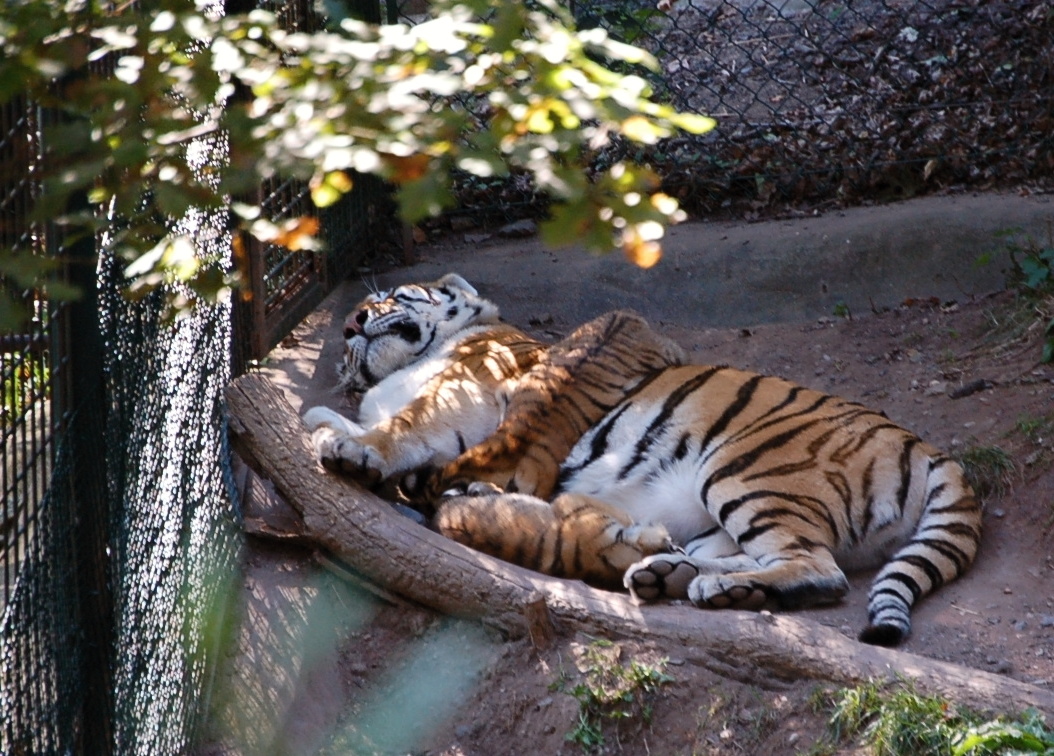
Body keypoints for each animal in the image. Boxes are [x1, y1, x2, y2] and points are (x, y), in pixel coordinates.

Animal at [305, 274, 983, 647]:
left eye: (390, 295)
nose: (349, 324)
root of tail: (928, 449)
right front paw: (324, 422)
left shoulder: (457, 396)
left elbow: (401, 429)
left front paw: (354, 451)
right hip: (719, 510)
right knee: (733, 554)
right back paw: (672, 575)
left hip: (746, 471)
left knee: (821, 571)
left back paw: (710, 587)